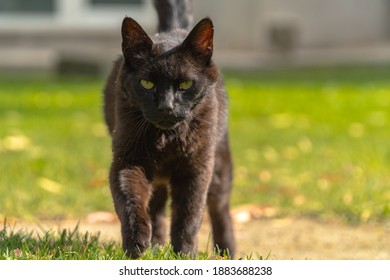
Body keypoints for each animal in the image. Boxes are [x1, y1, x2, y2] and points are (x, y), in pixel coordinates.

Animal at [103, 0, 235, 258]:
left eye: (185, 84)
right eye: (147, 83)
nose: (166, 106)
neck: (167, 137)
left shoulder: (196, 168)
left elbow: (189, 216)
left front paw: (185, 254)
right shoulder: (128, 160)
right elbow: (130, 199)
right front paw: (136, 243)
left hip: (219, 164)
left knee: (219, 207)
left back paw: (227, 251)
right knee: (157, 205)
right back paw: (155, 245)